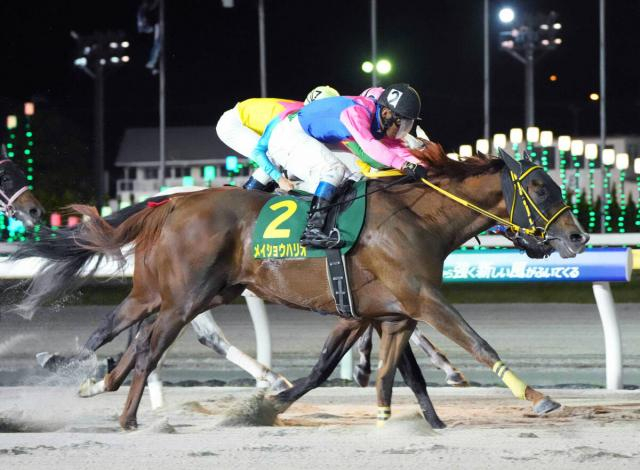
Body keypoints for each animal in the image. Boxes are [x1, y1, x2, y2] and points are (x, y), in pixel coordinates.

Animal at [11, 144, 589, 429]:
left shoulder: (379, 312)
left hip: (171, 293)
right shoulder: (422, 299)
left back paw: (92, 382)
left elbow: (358, 370)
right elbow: (476, 341)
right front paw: (538, 397)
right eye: (541, 188)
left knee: (120, 332)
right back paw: (127, 416)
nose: (578, 236)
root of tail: (172, 201)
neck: (418, 216)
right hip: (184, 297)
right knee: (149, 349)